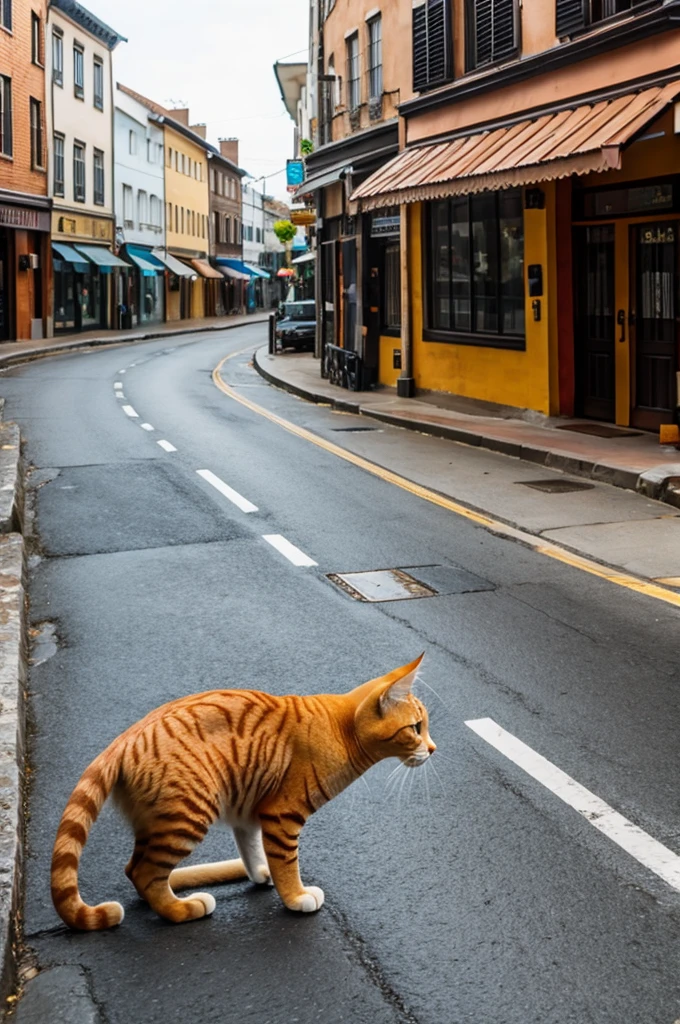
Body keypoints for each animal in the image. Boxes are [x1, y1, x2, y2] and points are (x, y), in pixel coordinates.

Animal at [53, 655, 436, 929]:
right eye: (416, 728)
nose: (433, 749)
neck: (341, 729)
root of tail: (123, 739)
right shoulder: (282, 815)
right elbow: (286, 862)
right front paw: (296, 897)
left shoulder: (250, 808)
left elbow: (251, 849)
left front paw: (259, 873)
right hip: (188, 816)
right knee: (145, 873)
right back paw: (183, 909)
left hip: (159, 821)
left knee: (134, 869)